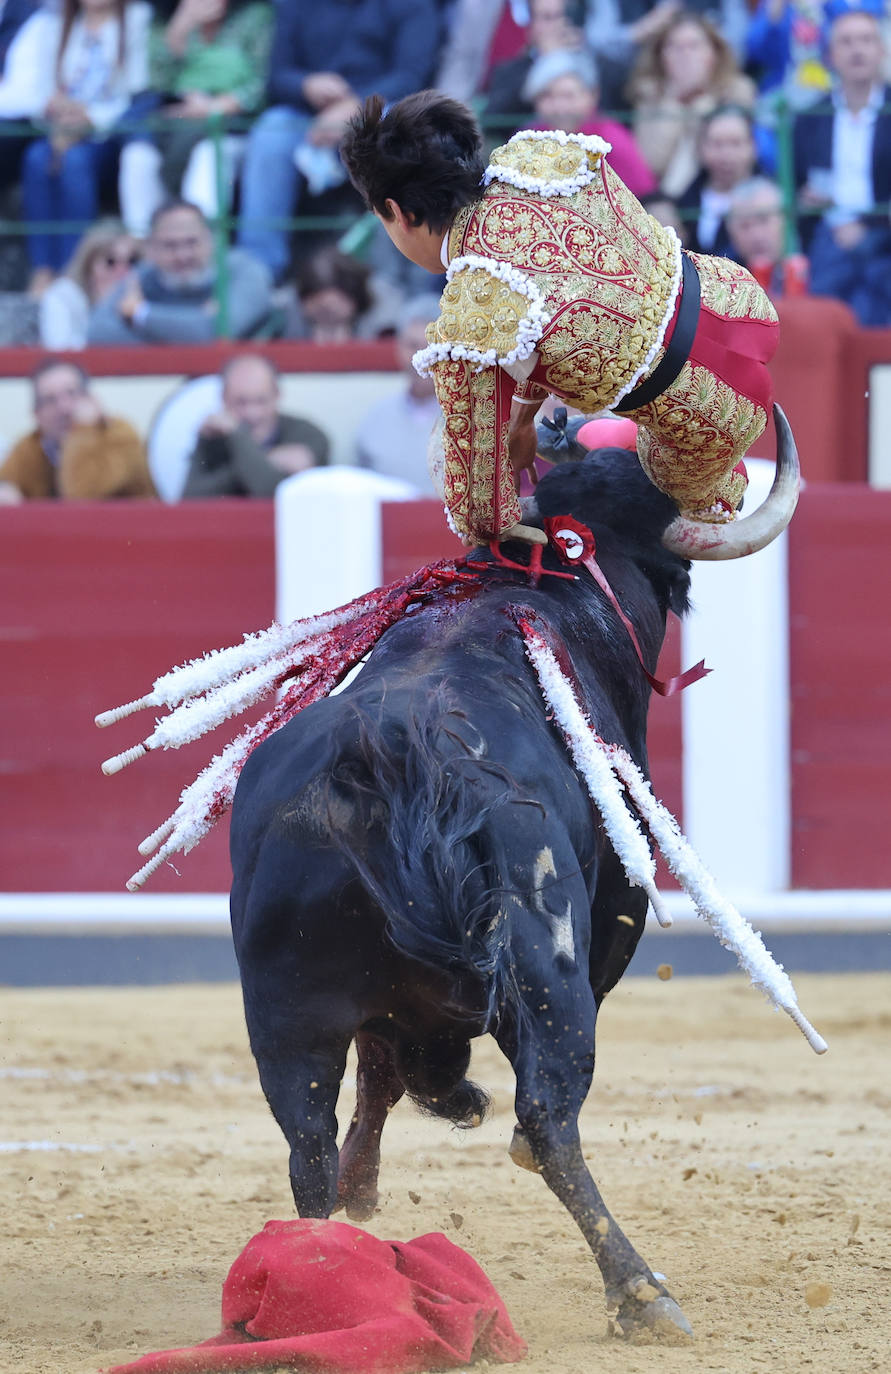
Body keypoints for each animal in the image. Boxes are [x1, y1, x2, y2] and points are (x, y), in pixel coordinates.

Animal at [233, 453, 698, 1341]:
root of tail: (390, 754)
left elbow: (383, 1073)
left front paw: (372, 1177)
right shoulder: (606, 926)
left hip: (285, 1010)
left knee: (306, 1143)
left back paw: (322, 1272)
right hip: (549, 970)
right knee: (548, 1119)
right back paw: (641, 1294)